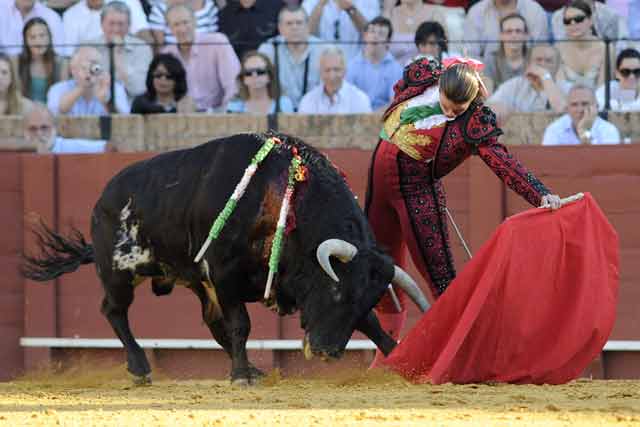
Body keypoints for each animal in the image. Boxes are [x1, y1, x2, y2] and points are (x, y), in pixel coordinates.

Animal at [22, 132, 428, 386]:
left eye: (366, 300)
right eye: (336, 293)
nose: (327, 353)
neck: (281, 199)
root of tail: (103, 197)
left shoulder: (224, 281)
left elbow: (373, 326)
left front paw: (401, 362)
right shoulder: (223, 274)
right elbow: (241, 325)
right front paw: (240, 376)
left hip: (195, 282)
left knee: (211, 323)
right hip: (120, 272)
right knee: (114, 310)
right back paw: (140, 368)